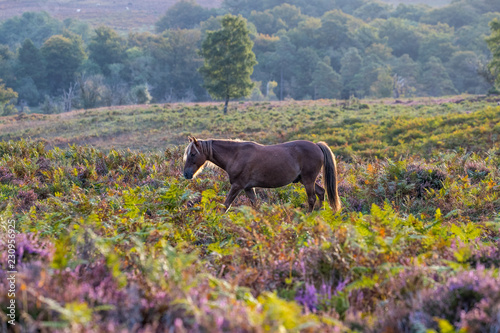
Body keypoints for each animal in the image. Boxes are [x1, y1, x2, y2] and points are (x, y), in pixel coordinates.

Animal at [182, 136, 342, 211]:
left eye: (193, 154)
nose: (186, 174)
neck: (236, 155)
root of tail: (317, 145)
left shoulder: (237, 186)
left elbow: (226, 205)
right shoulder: (248, 188)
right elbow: (255, 205)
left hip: (308, 180)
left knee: (312, 199)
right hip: (305, 180)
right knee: (321, 192)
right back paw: (320, 213)